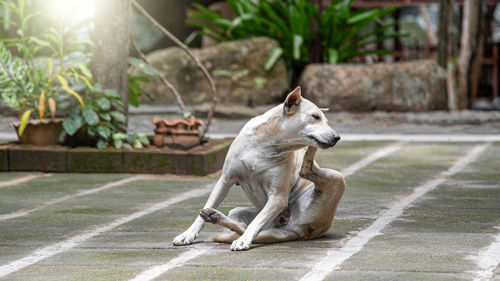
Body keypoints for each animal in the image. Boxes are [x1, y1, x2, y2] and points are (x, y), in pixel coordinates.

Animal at [172, 86, 344, 250]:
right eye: (315, 117)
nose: (337, 137)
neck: (265, 144)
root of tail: (295, 232)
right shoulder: (225, 180)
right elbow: (209, 204)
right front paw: (188, 234)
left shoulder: (278, 198)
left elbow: (256, 222)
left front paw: (244, 241)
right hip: (240, 211)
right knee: (243, 226)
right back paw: (215, 216)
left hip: (337, 179)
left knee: (306, 171)